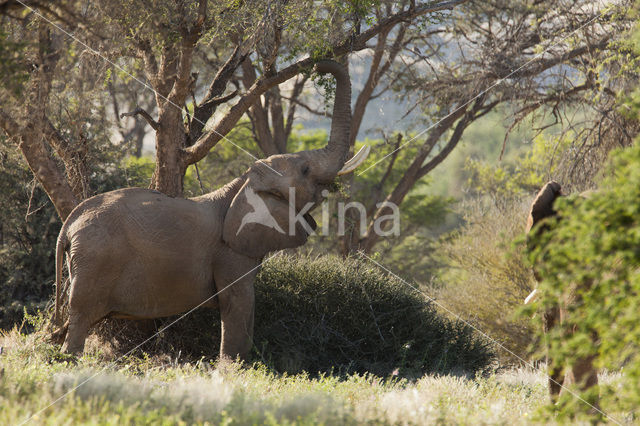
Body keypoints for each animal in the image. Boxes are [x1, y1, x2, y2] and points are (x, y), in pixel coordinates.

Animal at [52, 60, 368, 360]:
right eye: (304, 170)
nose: (315, 66)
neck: (241, 184)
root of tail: (70, 224)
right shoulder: (229, 253)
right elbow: (239, 305)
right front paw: (234, 367)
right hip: (95, 259)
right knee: (80, 319)